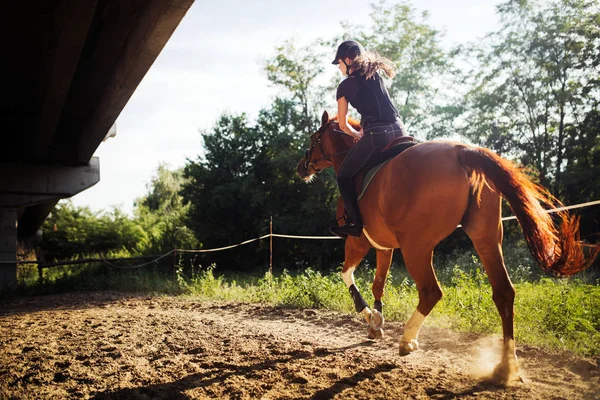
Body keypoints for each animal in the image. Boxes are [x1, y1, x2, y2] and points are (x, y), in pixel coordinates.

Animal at [298, 110, 596, 384]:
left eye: (314, 138)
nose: (301, 168)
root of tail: (463, 151)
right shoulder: (384, 246)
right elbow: (378, 285)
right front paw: (375, 324)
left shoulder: (357, 241)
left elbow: (347, 275)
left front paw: (369, 316)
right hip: (486, 238)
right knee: (504, 293)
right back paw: (506, 367)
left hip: (417, 246)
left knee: (431, 292)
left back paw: (407, 340)